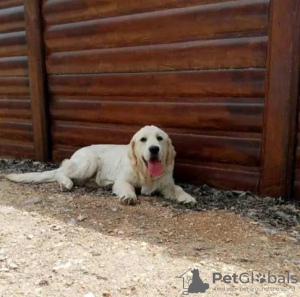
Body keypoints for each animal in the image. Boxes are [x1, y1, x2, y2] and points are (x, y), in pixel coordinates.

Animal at [6, 123, 197, 205]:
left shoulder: (166, 183)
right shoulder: (122, 181)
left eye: (159, 138)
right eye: (143, 139)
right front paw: (129, 196)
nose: (154, 149)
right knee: (62, 172)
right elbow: (127, 187)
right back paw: (66, 183)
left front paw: (187, 197)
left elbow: (177, 188)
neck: (146, 173)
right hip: (89, 162)